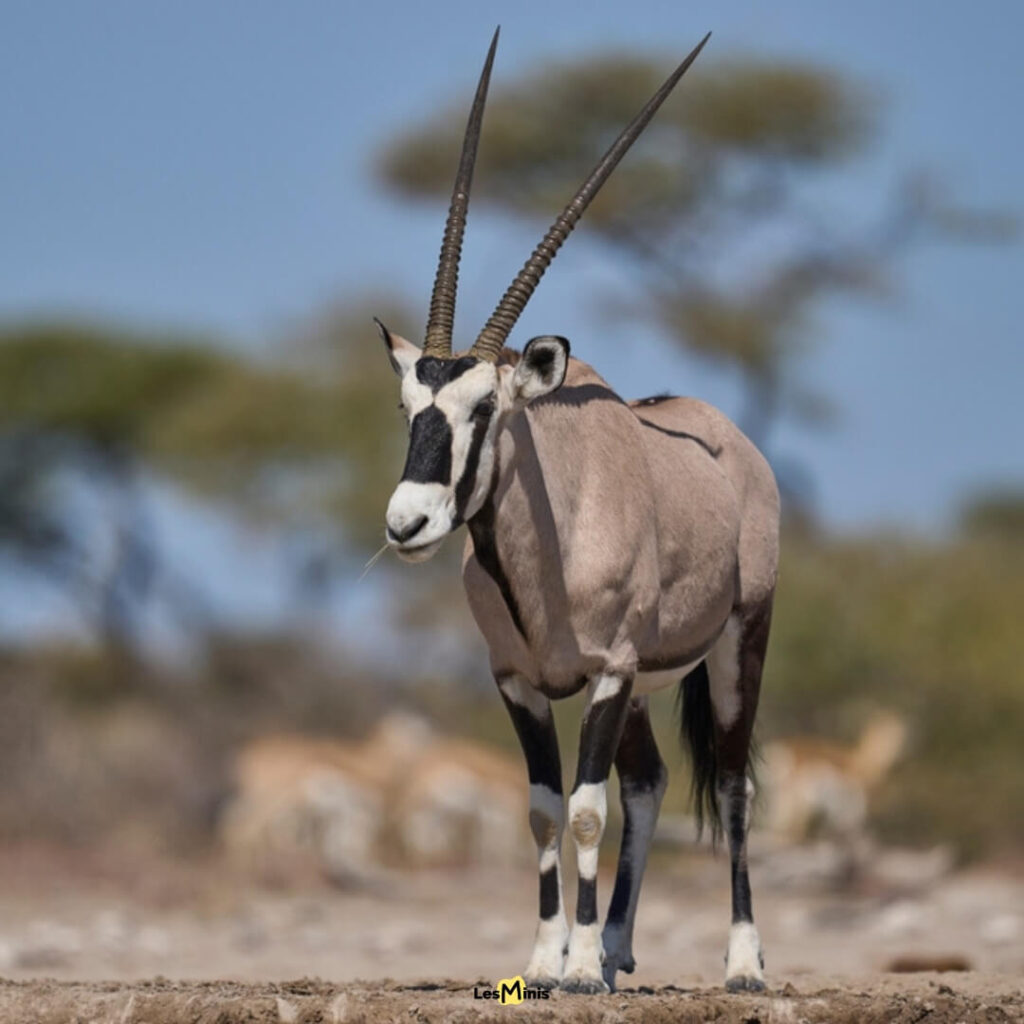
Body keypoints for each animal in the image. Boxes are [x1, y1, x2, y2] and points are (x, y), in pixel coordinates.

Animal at [375, 29, 779, 994]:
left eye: (485, 410)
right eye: (409, 408)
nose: (407, 524)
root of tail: (733, 440)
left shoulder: (606, 671)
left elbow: (587, 811)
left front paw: (581, 968)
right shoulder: (520, 679)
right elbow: (542, 808)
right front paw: (546, 957)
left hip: (737, 644)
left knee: (733, 786)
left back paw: (741, 961)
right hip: (643, 689)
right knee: (651, 780)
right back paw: (625, 943)